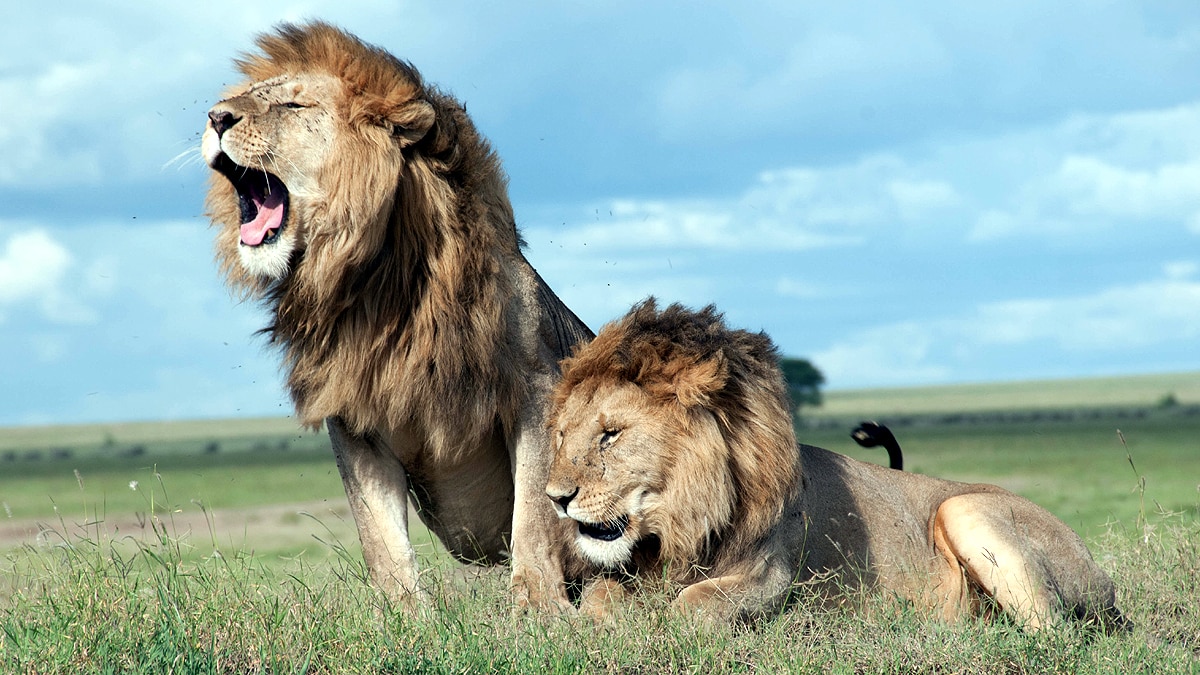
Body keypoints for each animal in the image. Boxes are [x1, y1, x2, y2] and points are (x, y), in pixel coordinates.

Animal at [202, 22, 592, 610]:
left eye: (293, 104)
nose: (215, 117)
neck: (376, 285)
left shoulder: (537, 386)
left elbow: (534, 514)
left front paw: (538, 607)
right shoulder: (354, 416)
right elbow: (379, 536)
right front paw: (404, 617)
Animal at [546, 300, 1126, 630]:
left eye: (611, 435)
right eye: (561, 435)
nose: (555, 498)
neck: (681, 523)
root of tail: (1105, 584)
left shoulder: (772, 576)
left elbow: (693, 606)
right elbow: (598, 597)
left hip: (965, 508)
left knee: (1056, 634)